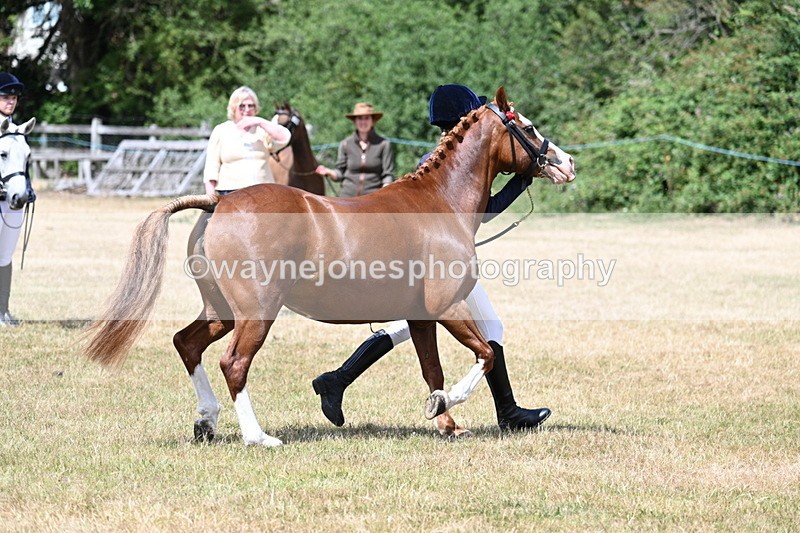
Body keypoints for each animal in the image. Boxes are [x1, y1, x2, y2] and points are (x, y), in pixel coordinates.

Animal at [83, 87, 575, 446]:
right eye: (528, 126)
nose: (566, 163)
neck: (440, 203)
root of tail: (219, 201)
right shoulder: (446, 307)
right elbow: (486, 355)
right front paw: (447, 403)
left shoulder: (421, 315)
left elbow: (432, 369)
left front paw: (446, 420)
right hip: (256, 313)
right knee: (233, 363)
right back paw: (258, 437)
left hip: (221, 310)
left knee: (187, 344)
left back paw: (207, 422)